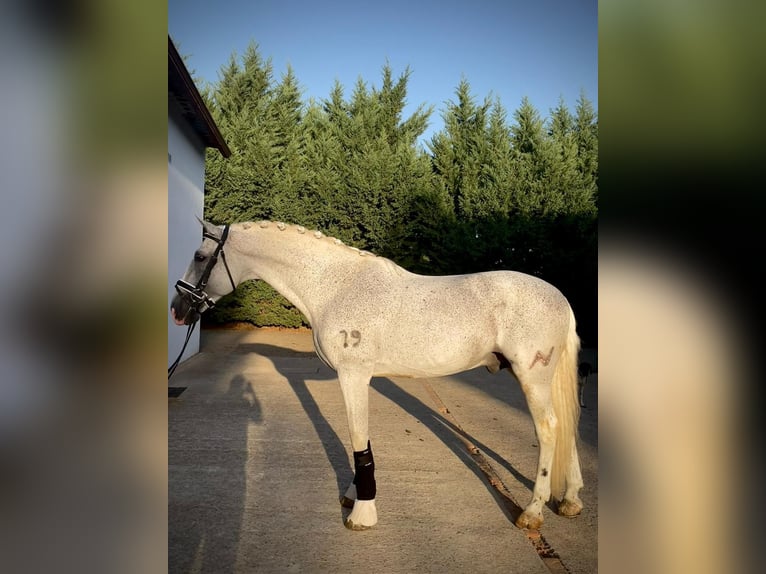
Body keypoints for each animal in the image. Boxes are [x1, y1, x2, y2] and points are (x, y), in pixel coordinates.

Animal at [170, 220, 584, 531]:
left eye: (200, 256)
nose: (177, 308)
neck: (335, 286)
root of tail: (561, 299)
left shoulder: (354, 376)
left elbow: (359, 440)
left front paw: (362, 512)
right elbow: (359, 440)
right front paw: (354, 495)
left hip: (532, 379)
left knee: (549, 428)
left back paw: (532, 512)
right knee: (567, 426)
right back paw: (570, 501)